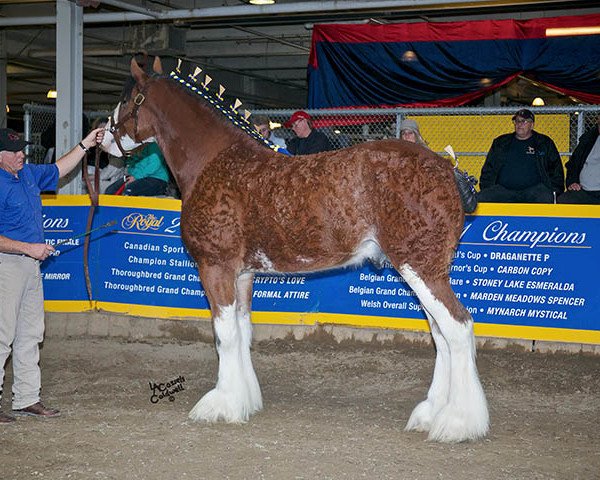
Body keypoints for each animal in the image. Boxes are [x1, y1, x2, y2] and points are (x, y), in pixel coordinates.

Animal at [102, 56, 488, 442]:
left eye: (127, 98)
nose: (104, 139)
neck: (215, 161)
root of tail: (446, 169)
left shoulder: (216, 267)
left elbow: (224, 335)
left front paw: (220, 405)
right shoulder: (242, 275)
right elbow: (242, 331)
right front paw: (244, 400)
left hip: (420, 267)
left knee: (457, 328)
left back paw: (457, 422)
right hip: (424, 270)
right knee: (441, 334)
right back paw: (431, 413)